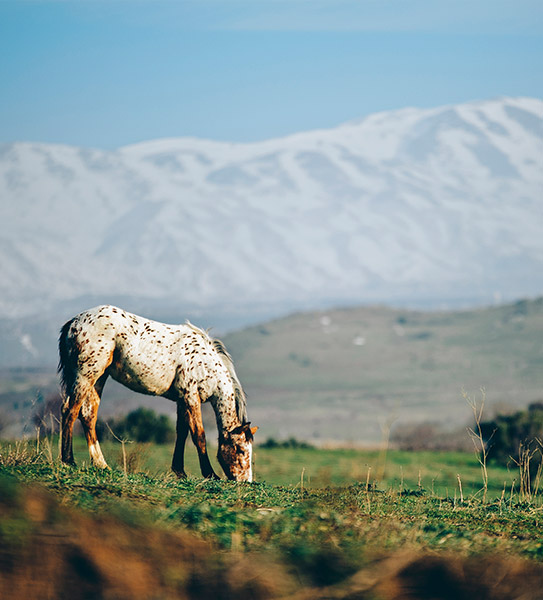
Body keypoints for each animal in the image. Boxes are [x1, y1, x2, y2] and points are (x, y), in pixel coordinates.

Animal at [58, 308, 258, 480]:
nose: (245, 481)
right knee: (70, 411)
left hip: (99, 378)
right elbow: (199, 436)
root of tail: (74, 321)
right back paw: (69, 460)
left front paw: (180, 471)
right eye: (240, 450)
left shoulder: (182, 400)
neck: (207, 364)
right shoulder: (191, 397)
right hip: (85, 375)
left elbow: (182, 433)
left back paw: (101, 464)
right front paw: (210, 474)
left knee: (88, 416)